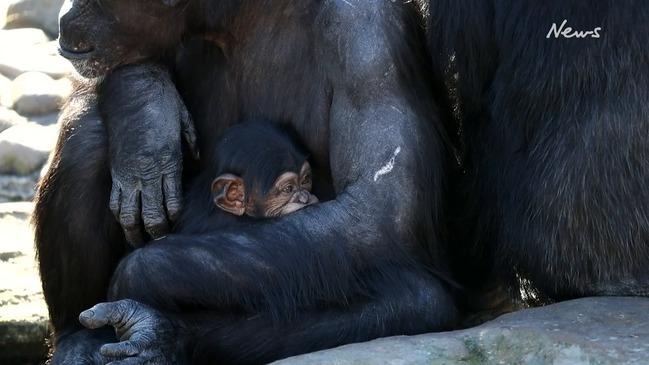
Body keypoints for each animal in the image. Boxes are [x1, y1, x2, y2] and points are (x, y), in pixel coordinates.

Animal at [31, 0, 456, 364]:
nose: (67, 11)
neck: (238, 15)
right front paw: (146, 121)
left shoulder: (368, 44)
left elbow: (375, 210)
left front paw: (133, 274)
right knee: (88, 137)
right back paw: (80, 340)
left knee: (414, 298)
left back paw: (159, 334)